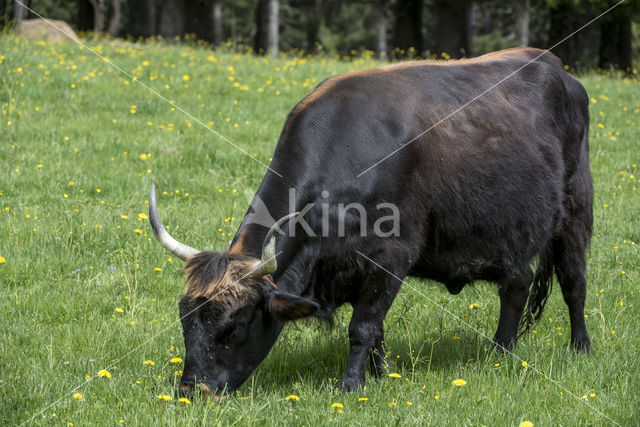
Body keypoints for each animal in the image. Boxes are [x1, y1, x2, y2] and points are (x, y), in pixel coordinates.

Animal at [150, 47, 596, 398]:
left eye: (235, 326)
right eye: (185, 319)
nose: (191, 391)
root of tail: (556, 67)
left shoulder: (391, 257)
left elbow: (363, 326)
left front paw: (352, 385)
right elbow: (377, 329)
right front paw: (382, 375)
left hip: (575, 213)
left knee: (573, 283)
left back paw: (580, 348)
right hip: (510, 237)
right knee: (517, 285)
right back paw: (501, 351)